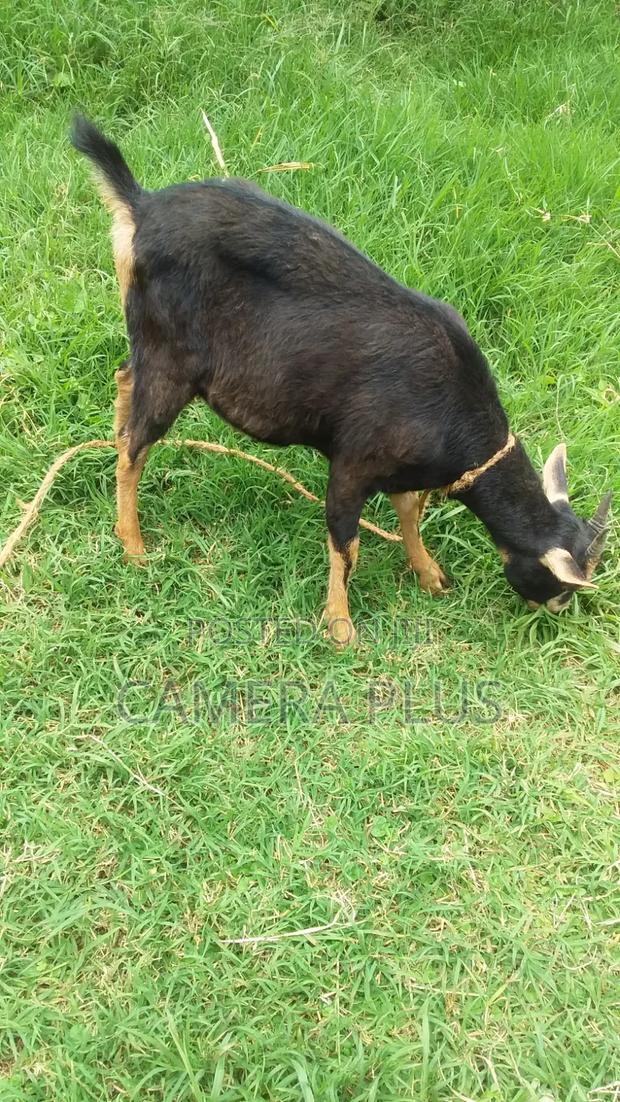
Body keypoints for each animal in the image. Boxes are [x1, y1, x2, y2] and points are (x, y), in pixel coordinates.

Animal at [71, 115, 611, 645]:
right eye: (563, 585)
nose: (555, 614)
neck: (452, 411)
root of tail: (140, 206)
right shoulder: (354, 459)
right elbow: (345, 542)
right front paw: (340, 625)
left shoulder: (400, 468)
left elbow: (409, 511)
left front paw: (429, 575)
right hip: (172, 361)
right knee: (135, 445)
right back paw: (133, 545)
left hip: (147, 341)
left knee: (124, 379)